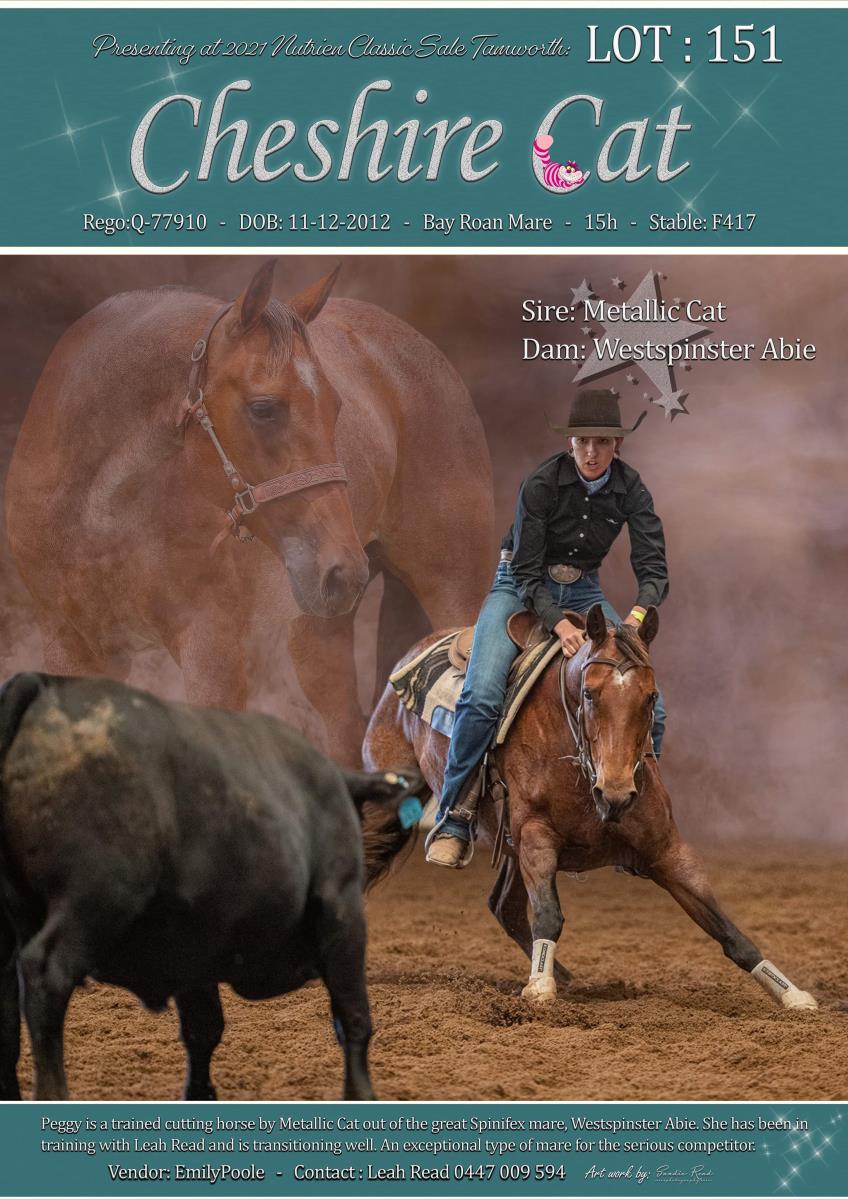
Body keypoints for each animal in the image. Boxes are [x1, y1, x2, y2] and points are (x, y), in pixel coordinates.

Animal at [4, 261, 494, 765]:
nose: (343, 571)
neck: (99, 514)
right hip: (318, 632)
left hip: (451, 590)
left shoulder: (212, 649)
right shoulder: (73, 646)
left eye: (336, 406)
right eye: (263, 408)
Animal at [363, 605, 818, 1011]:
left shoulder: (667, 849)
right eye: (588, 692)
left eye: (651, 696)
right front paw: (539, 989)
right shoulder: (535, 836)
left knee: (505, 908)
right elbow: (548, 914)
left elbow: (728, 930)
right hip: (394, 806)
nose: (615, 794)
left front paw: (792, 994)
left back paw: (563, 976)